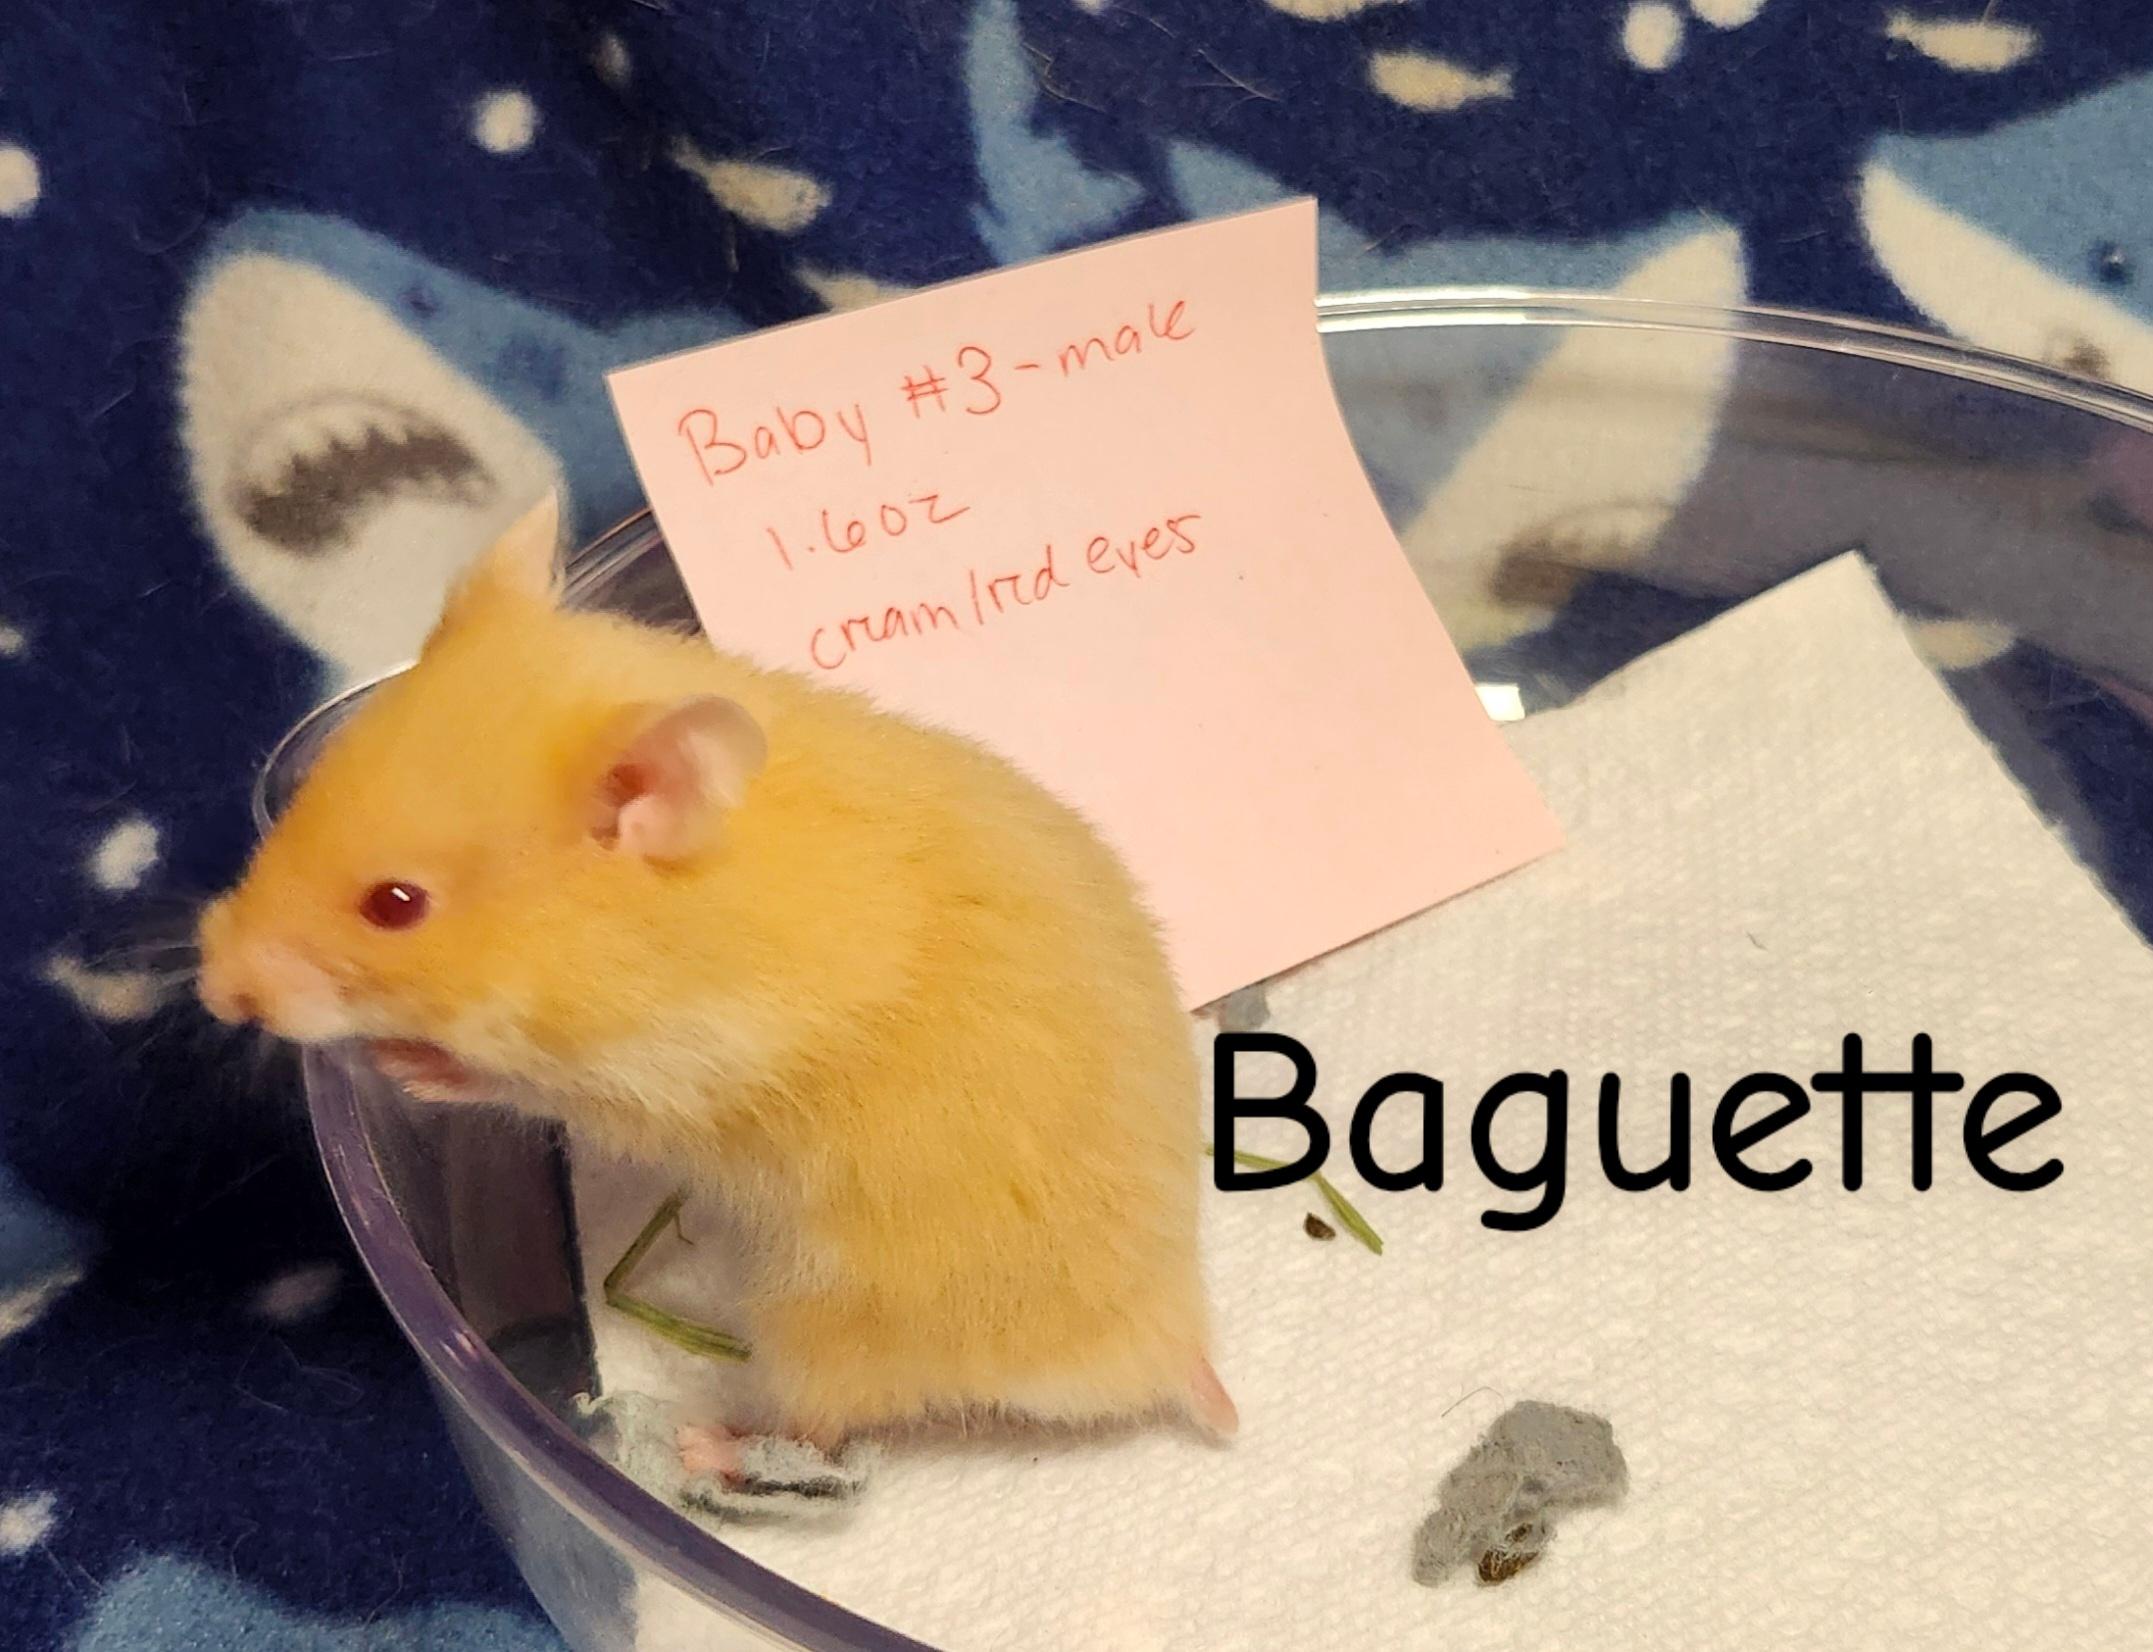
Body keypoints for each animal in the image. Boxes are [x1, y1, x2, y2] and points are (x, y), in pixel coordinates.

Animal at [198, 493, 1237, 1473]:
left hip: (821, 1322)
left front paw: (406, 1064)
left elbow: (513, 1083)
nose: (215, 985)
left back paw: (708, 1446)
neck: (648, 923)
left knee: (820, 1428)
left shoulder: (659, 1080)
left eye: (396, 904)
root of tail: (1162, 1338)